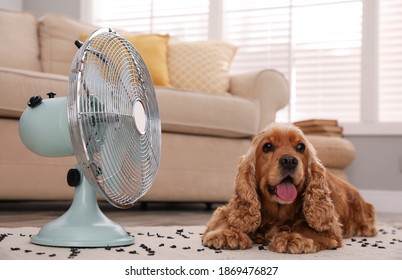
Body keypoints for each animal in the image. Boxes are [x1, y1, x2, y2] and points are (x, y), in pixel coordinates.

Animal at [203, 122, 378, 254]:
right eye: (267, 146)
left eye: (300, 147)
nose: (289, 160)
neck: (277, 214)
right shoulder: (227, 210)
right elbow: (225, 219)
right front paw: (225, 234)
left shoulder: (332, 227)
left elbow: (307, 227)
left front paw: (293, 237)